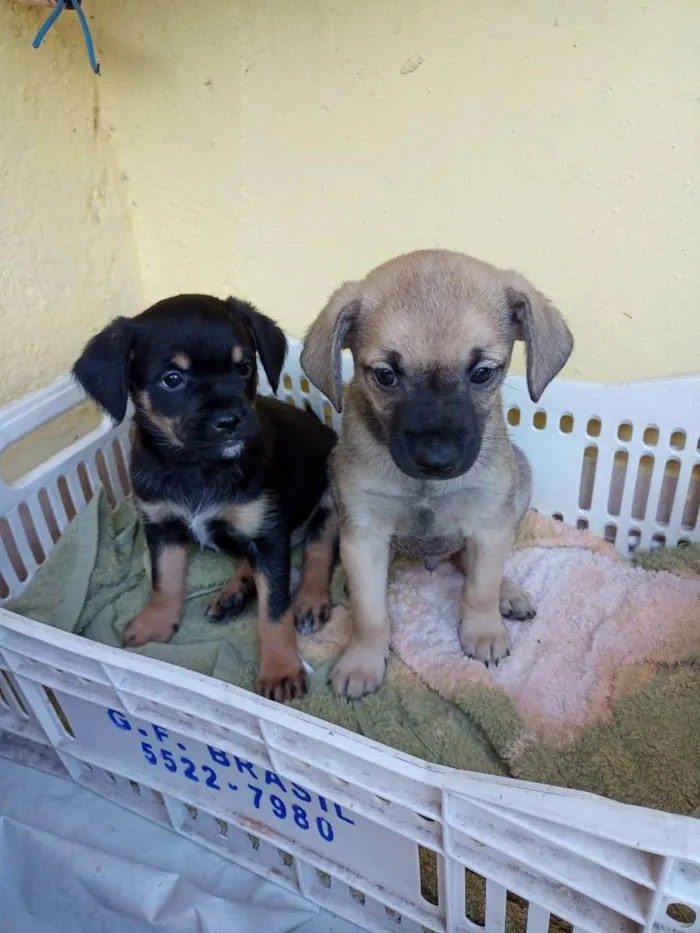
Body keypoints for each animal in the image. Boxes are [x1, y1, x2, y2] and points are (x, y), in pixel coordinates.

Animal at [72, 294, 338, 704]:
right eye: (172, 379)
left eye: (245, 367)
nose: (229, 420)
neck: (198, 467)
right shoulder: (161, 526)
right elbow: (165, 580)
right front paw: (155, 624)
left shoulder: (268, 535)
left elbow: (274, 610)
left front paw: (280, 669)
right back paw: (233, 593)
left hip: (328, 502)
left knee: (319, 549)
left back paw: (309, 600)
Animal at [300, 251, 576, 696]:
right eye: (385, 375)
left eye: (482, 372)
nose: (436, 459)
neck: (425, 487)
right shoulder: (364, 535)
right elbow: (369, 613)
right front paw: (362, 661)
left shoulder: (489, 525)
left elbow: (480, 587)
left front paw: (482, 632)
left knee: (471, 562)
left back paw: (508, 593)